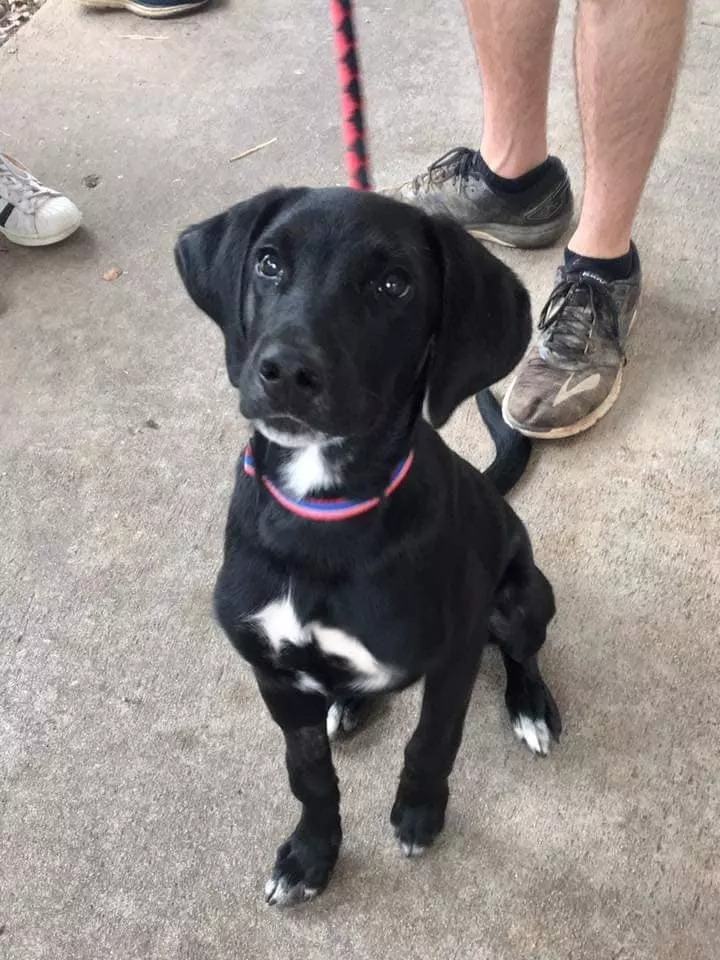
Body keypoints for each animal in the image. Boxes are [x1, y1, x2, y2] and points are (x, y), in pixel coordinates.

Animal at [175, 186, 561, 907]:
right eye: (269, 263)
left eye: (394, 284)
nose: (286, 371)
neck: (320, 513)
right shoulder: (274, 674)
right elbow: (308, 775)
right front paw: (310, 856)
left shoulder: (455, 655)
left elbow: (432, 741)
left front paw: (418, 813)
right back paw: (349, 703)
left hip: (524, 597)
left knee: (523, 652)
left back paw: (531, 708)